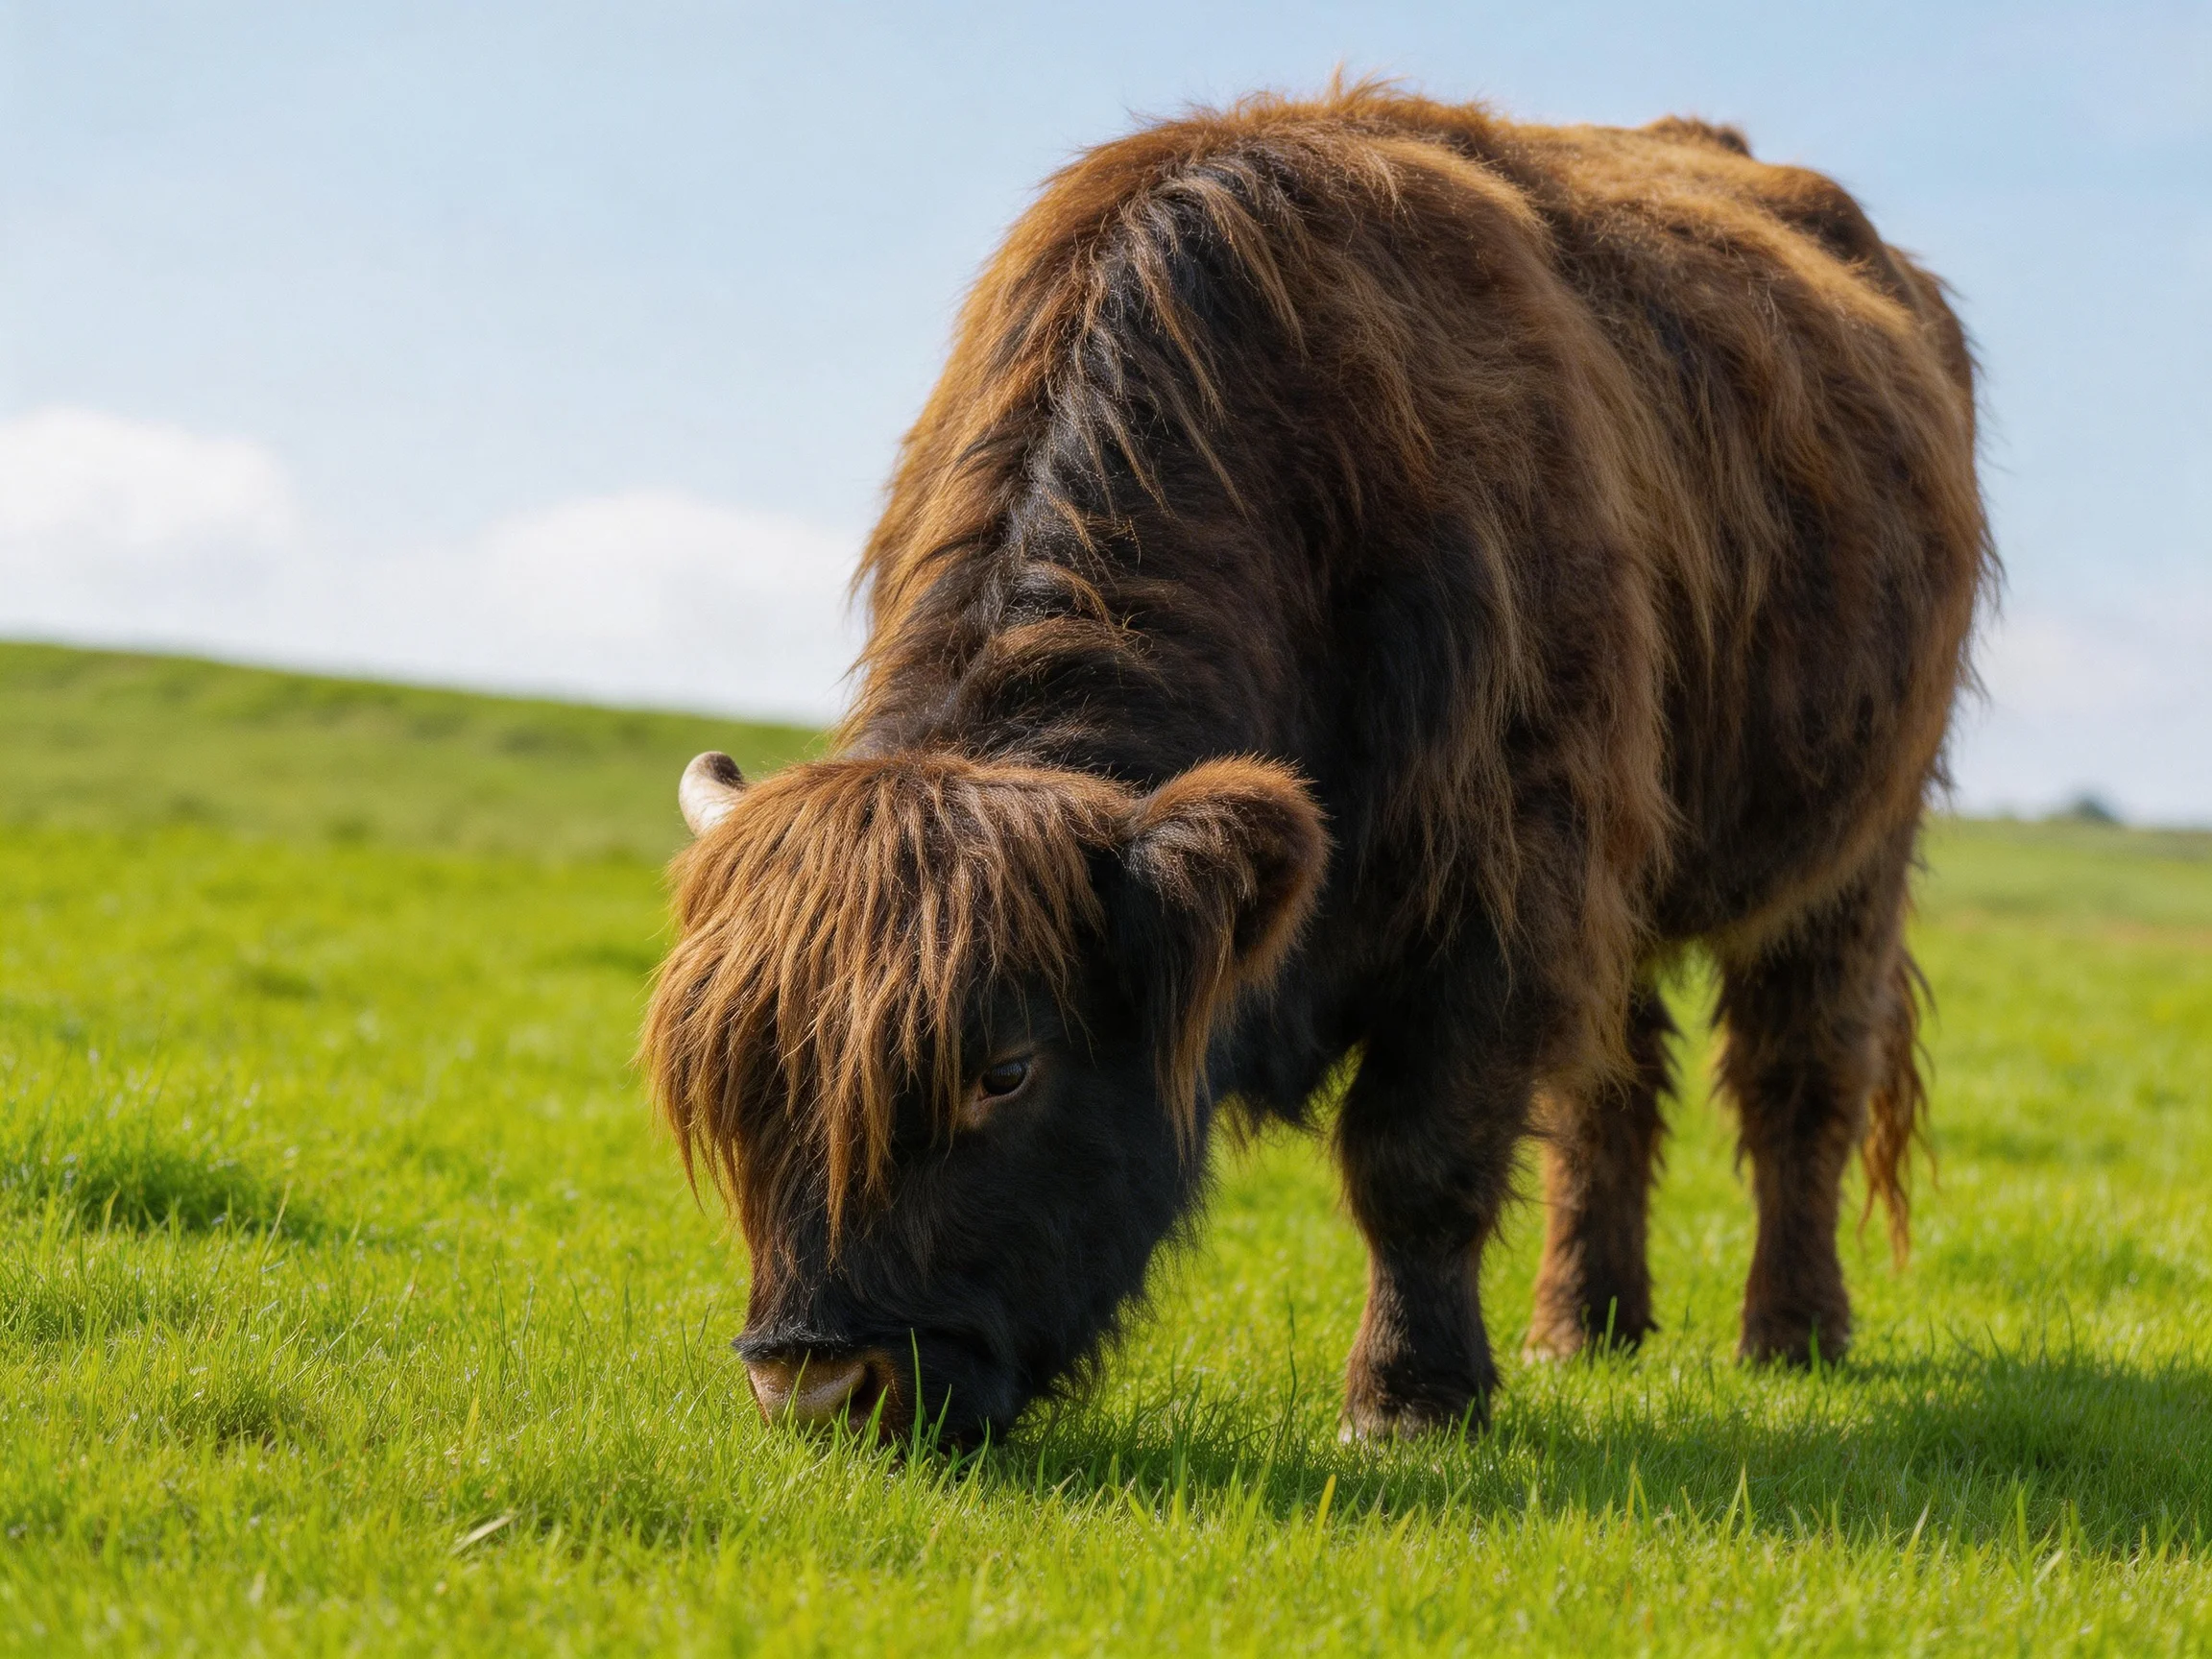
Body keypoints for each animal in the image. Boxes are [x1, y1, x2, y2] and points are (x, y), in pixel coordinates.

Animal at [644, 84, 1992, 1446]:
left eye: (1006, 1069)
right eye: (735, 1074)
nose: (815, 1382)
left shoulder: (1506, 892)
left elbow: (1418, 1158)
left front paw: (1408, 1399)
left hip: (1849, 860)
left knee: (1797, 1079)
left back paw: (1791, 1331)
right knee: (1611, 1088)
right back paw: (1583, 1325)